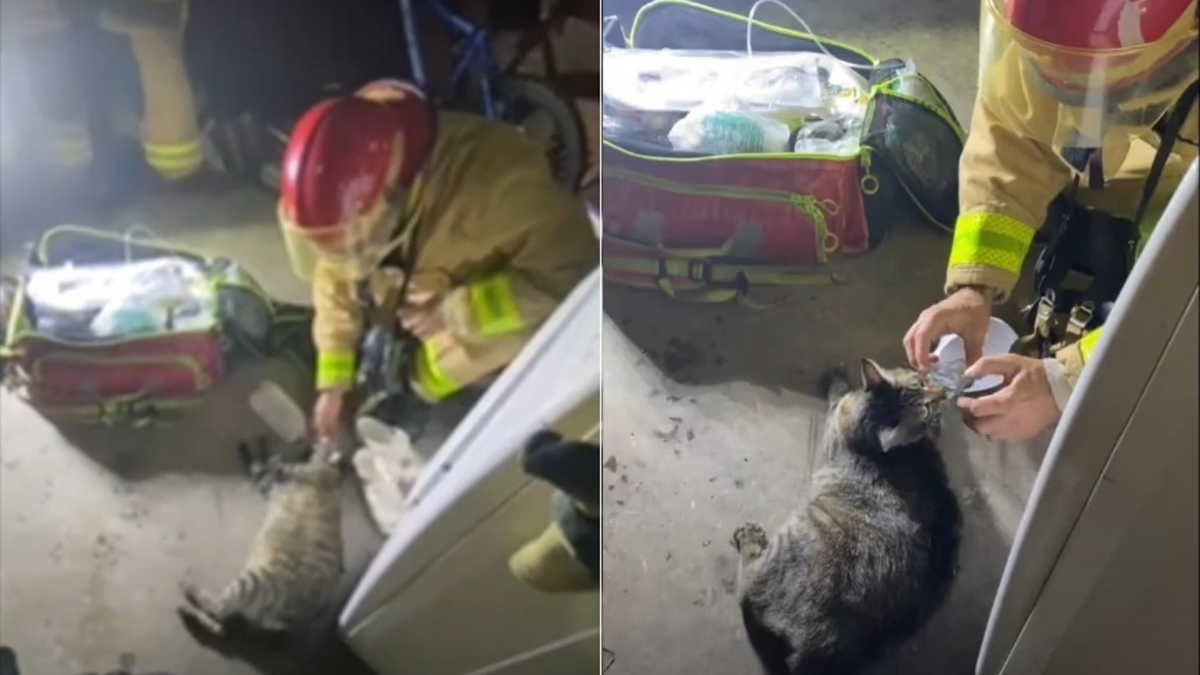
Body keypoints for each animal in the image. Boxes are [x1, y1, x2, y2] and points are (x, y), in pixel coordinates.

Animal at [178, 437, 348, 634]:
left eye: (321, 443)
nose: (314, 439)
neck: (328, 471)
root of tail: (292, 617)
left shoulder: (278, 477)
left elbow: (260, 467)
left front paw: (257, 453)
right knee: (220, 623)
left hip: (252, 583)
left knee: (219, 608)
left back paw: (192, 595)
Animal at [724, 357, 960, 672]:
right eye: (920, 387)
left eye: (928, 401)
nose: (943, 394)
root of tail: (821, 649)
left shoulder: (834, 417)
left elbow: (836, 392)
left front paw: (835, 378)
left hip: (794, 536)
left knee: (747, 586)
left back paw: (750, 538)